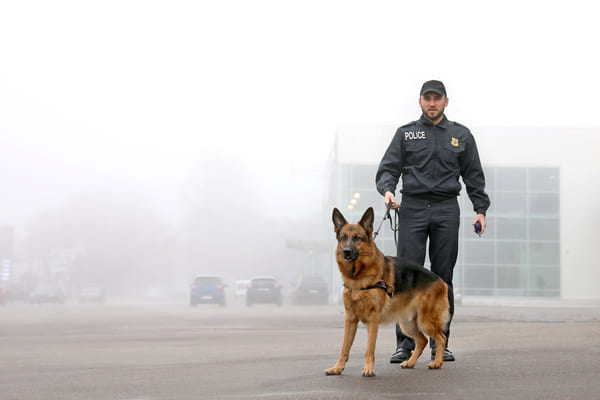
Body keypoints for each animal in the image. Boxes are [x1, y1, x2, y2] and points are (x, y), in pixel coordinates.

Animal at [326, 208, 448, 376]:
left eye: (358, 238)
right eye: (343, 238)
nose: (346, 252)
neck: (359, 277)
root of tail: (441, 281)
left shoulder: (373, 319)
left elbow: (369, 348)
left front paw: (368, 369)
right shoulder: (350, 319)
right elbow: (344, 347)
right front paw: (338, 367)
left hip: (425, 321)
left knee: (441, 338)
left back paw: (437, 362)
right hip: (407, 324)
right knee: (422, 340)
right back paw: (411, 362)